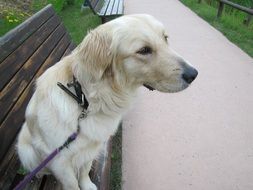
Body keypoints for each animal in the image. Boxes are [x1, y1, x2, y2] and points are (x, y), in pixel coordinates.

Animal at [16, 14, 198, 189]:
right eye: (144, 50)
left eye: (165, 38)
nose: (194, 74)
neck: (86, 98)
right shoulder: (60, 161)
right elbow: (73, 184)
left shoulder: (93, 145)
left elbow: (85, 169)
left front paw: (87, 184)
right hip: (26, 149)